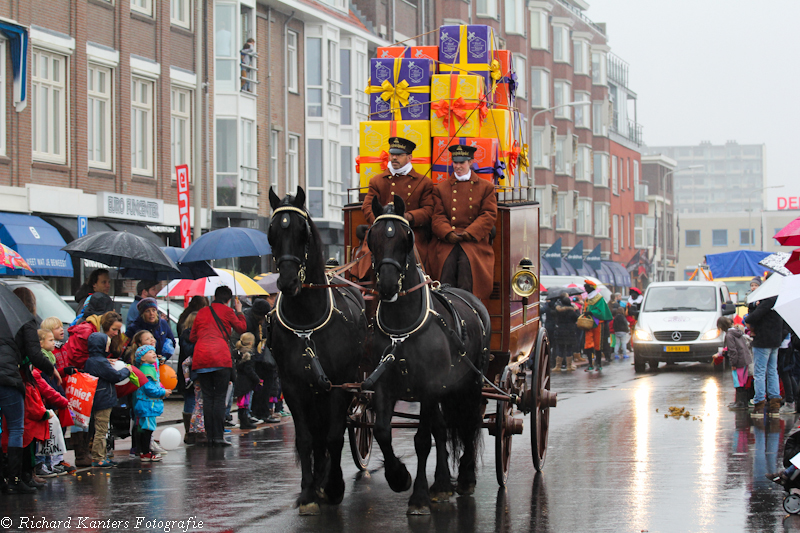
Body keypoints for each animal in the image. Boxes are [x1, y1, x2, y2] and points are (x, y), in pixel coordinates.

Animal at [268, 188, 368, 516]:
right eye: (272, 232)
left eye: (303, 231)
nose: (287, 281)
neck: (306, 323)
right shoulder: (293, 387)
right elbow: (306, 438)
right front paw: (309, 493)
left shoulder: (339, 384)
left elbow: (335, 436)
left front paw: (333, 487)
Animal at [366, 195, 490, 516]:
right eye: (371, 236)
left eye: (406, 237)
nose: (386, 285)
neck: (402, 328)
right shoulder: (384, 384)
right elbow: (382, 431)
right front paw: (398, 476)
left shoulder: (428, 388)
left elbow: (422, 440)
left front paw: (419, 497)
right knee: (443, 429)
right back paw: (443, 484)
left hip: (471, 383)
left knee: (469, 423)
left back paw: (465, 478)